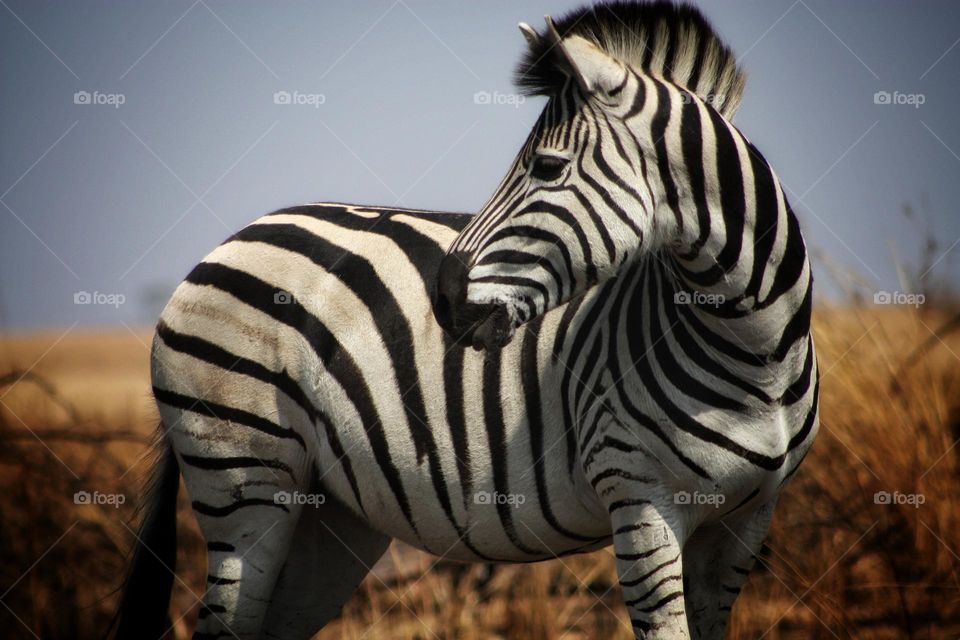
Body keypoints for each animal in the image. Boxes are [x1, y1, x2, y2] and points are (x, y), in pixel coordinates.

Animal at [112, 2, 819, 639]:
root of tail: (239, 234)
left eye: (547, 167)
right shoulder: (640, 499)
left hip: (329, 512)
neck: (754, 349)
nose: (444, 299)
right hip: (245, 477)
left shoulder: (748, 521)